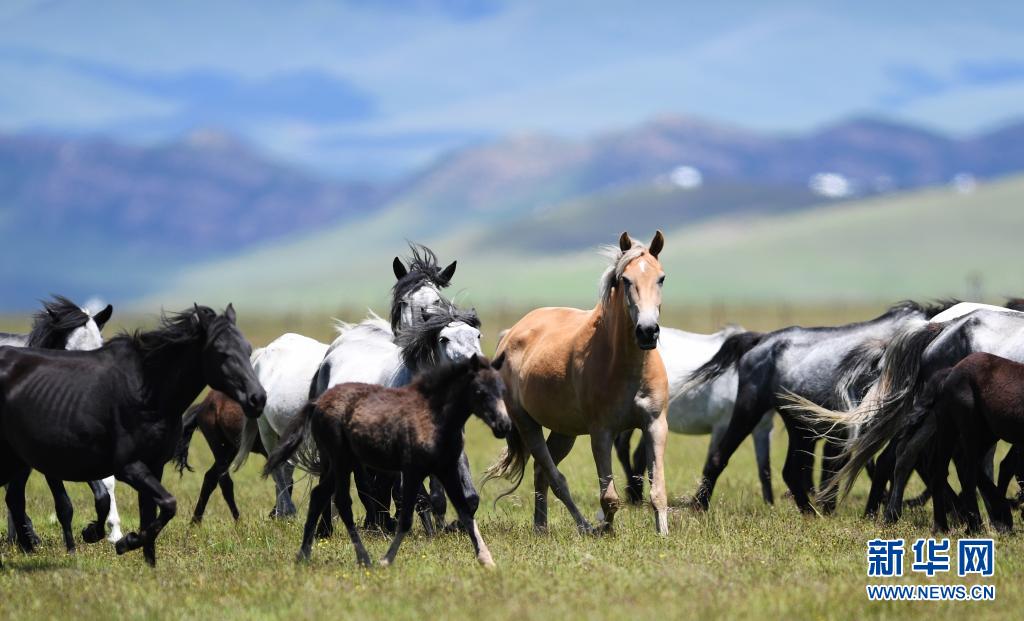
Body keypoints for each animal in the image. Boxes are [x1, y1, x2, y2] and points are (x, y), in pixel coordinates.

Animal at [487, 231, 671, 536]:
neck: (626, 367)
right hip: (527, 424)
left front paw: (663, 534)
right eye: (625, 280)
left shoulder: (655, 425)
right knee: (555, 477)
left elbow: (658, 491)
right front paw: (606, 531)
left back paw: (541, 528)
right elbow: (609, 497)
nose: (647, 331)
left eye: (661, 278)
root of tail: (511, 333)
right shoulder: (601, 432)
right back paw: (583, 527)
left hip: (565, 431)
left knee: (541, 473)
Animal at [610, 325, 770, 506]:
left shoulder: (762, 429)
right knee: (624, 448)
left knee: (637, 454)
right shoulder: (722, 426)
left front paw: (769, 505)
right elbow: (713, 460)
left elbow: (764, 469)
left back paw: (636, 495)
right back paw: (635, 495)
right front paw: (700, 502)